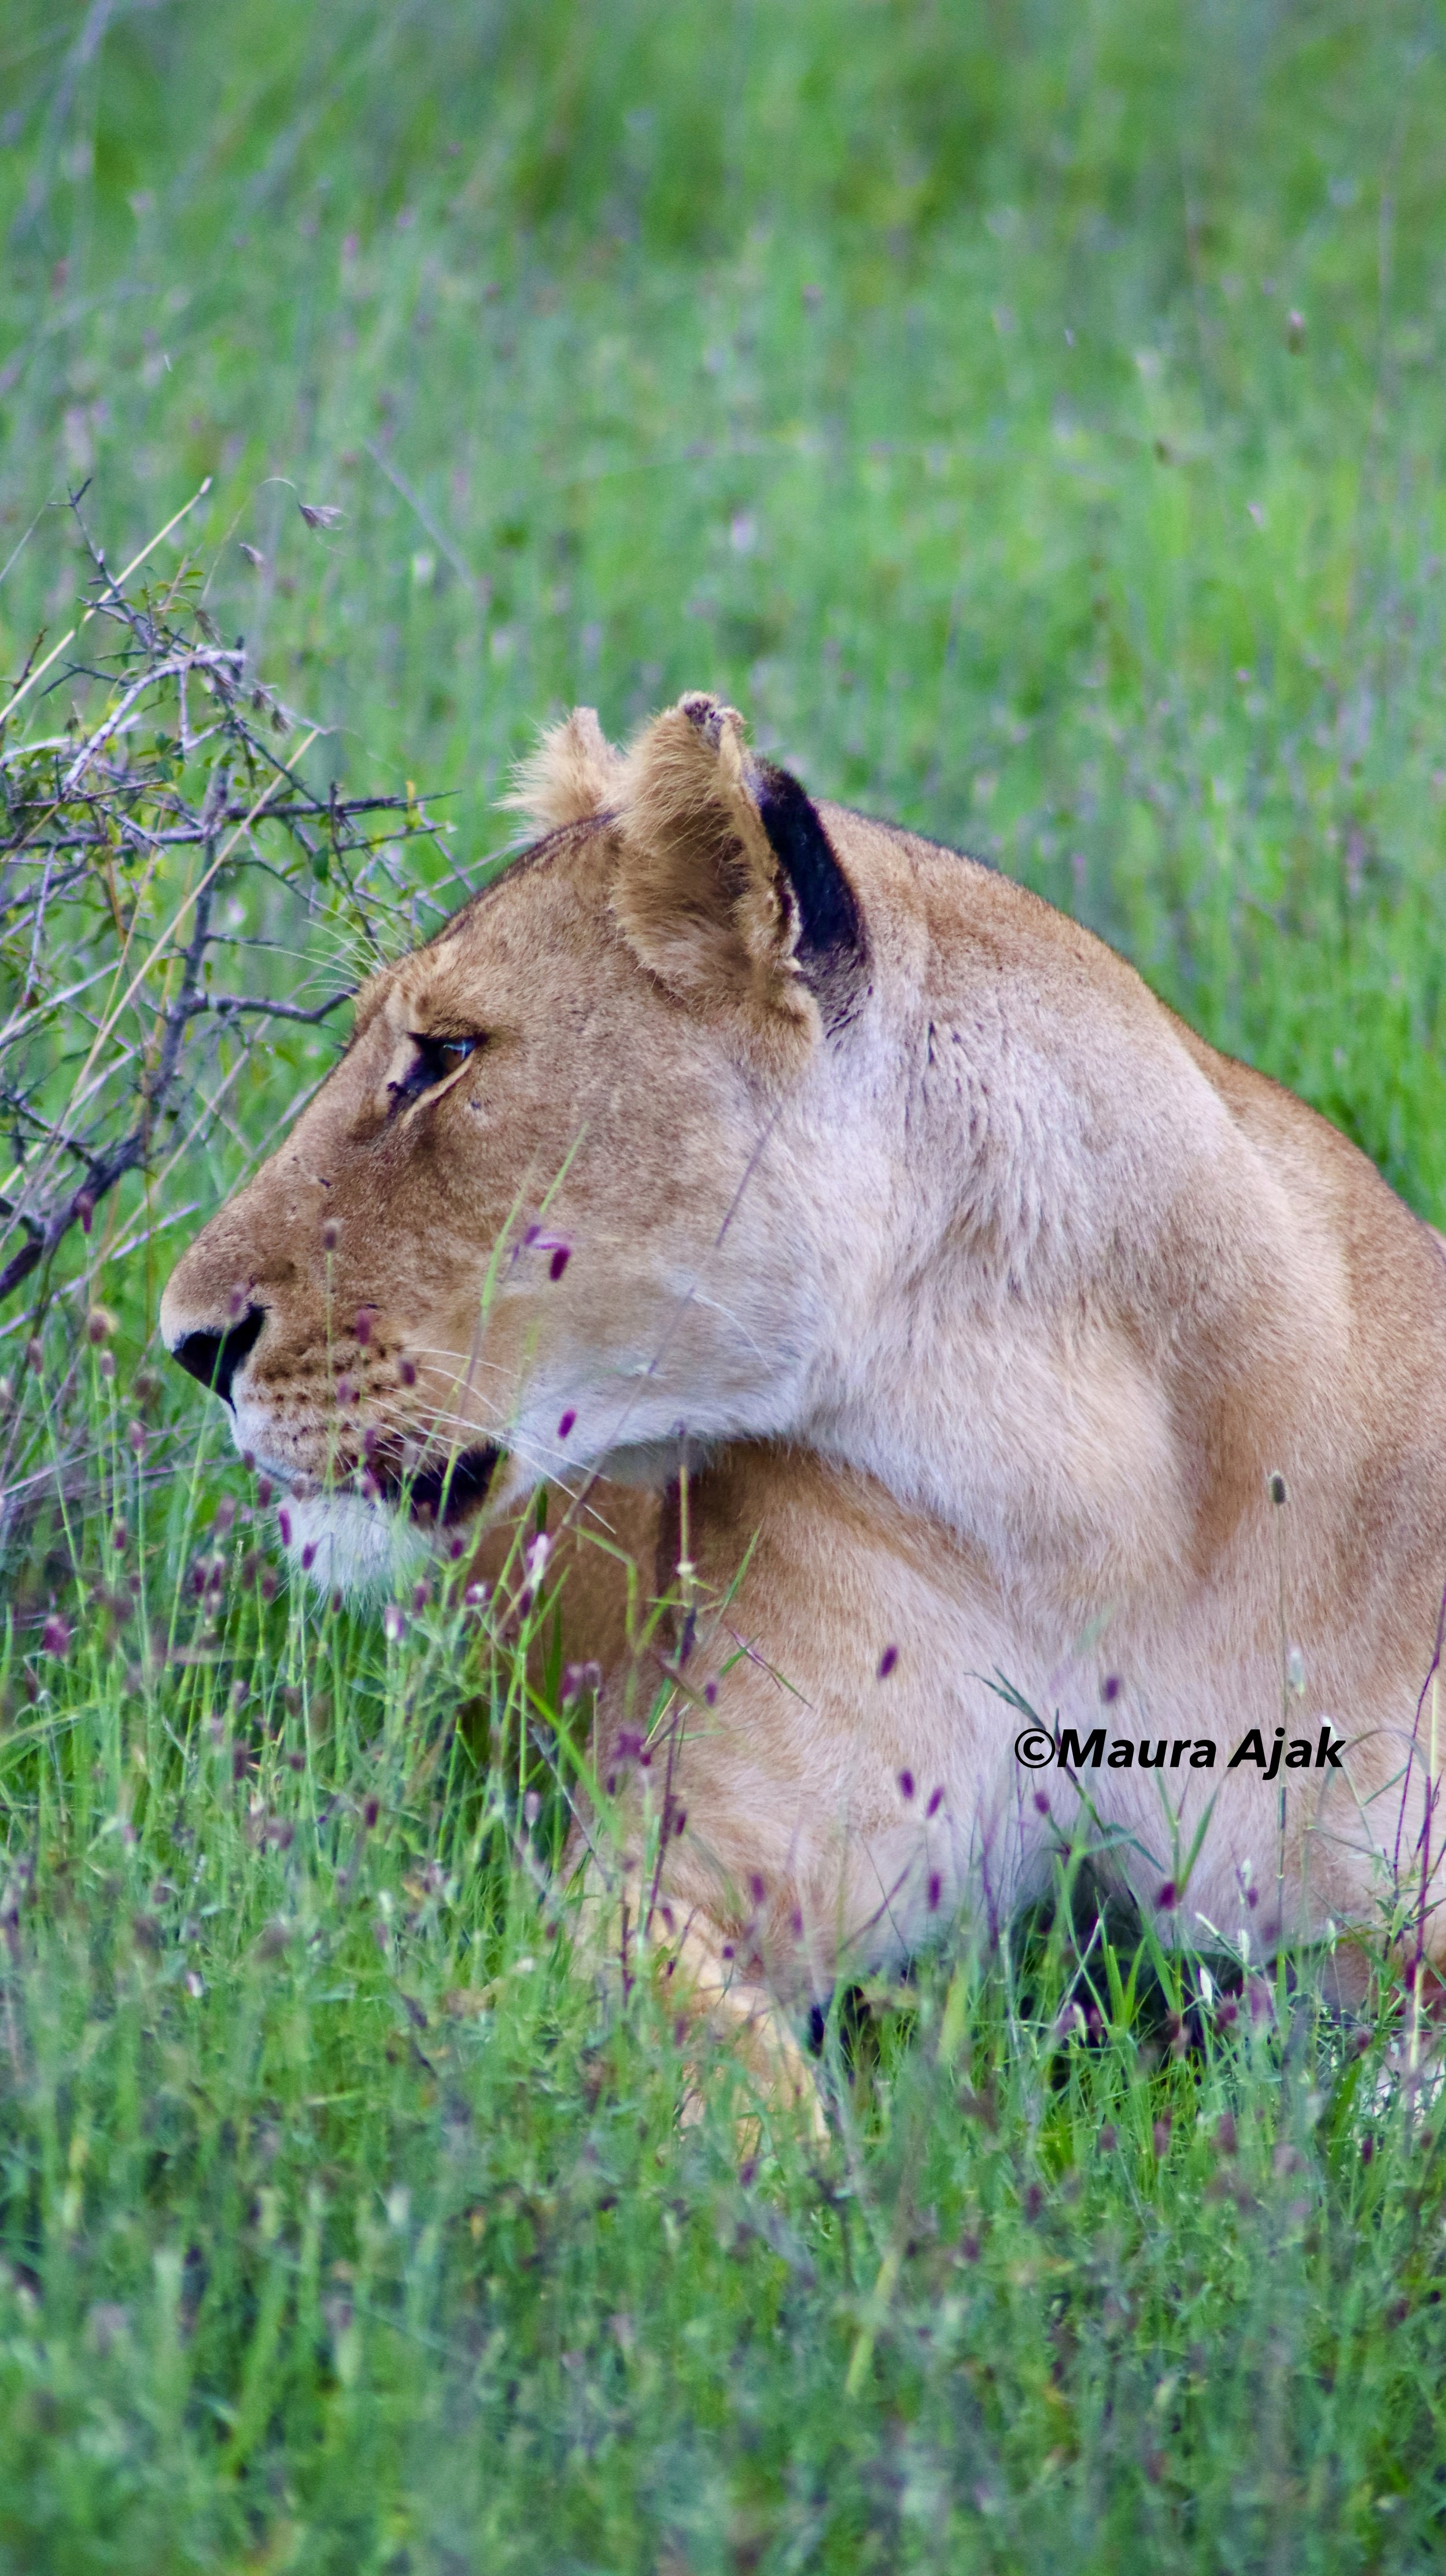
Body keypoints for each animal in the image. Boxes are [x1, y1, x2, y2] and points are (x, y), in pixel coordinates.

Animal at [161, 690, 1446, 2114]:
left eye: (441, 1056)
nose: (189, 1341)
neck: (1086, 1504)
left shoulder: (1406, 1924)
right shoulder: (658, 1887)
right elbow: (740, 2103)